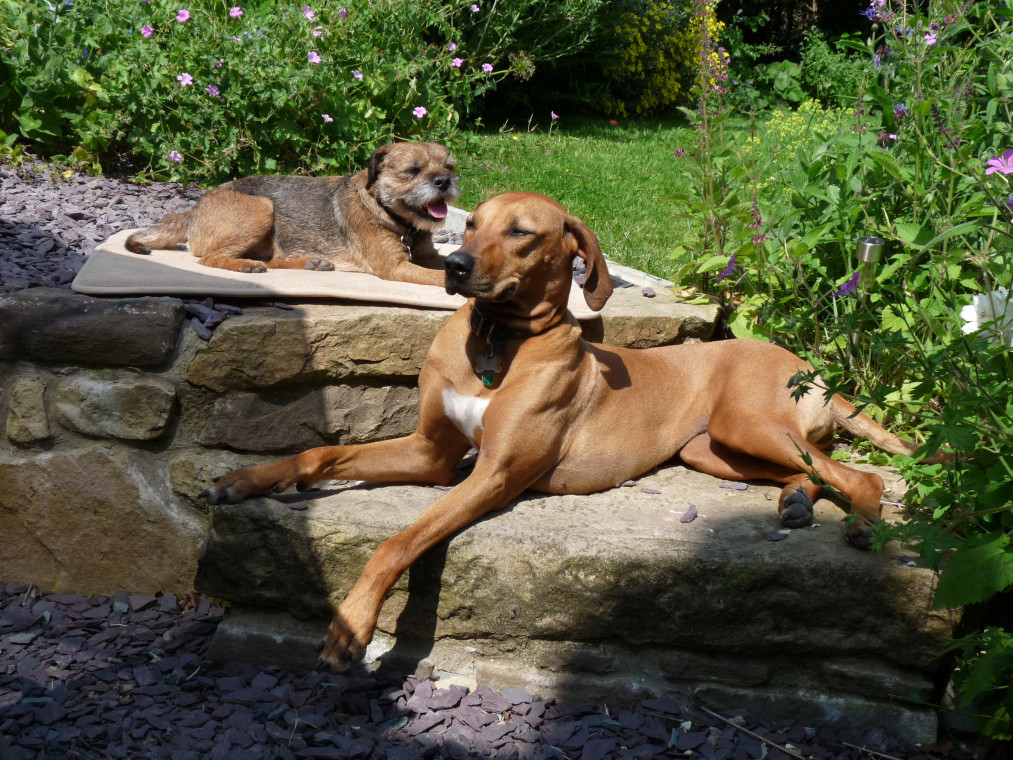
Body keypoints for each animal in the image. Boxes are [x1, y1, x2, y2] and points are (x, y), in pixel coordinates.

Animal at [125, 142, 459, 286]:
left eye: (450, 167)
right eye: (412, 171)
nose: (444, 181)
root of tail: (193, 211)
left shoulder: (427, 256)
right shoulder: (396, 267)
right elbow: (439, 277)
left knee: (273, 259)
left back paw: (309, 263)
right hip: (261, 209)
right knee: (209, 258)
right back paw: (245, 266)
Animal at [202, 191, 946, 670]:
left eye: (522, 233)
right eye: (471, 225)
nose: (455, 268)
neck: (496, 341)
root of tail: (804, 362)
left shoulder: (491, 474)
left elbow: (399, 541)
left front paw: (351, 623)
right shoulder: (431, 451)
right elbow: (323, 449)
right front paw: (247, 477)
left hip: (745, 425)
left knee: (858, 474)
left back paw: (863, 525)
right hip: (712, 451)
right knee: (811, 468)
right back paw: (793, 502)